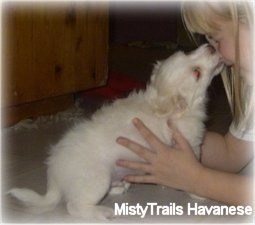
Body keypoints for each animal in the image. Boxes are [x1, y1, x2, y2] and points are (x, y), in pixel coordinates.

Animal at [7, 44, 223, 220]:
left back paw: (119, 187)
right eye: (197, 73)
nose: (211, 46)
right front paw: (198, 193)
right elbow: (193, 170)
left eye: (186, 52)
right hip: (98, 179)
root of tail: (53, 180)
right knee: (74, 206)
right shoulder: (190, 146)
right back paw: (102, 212)